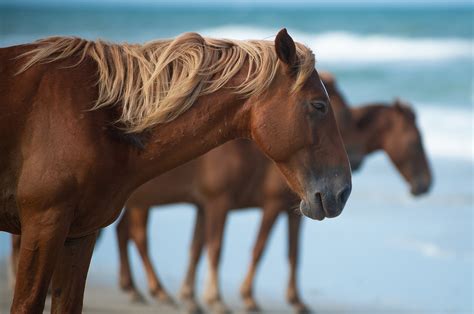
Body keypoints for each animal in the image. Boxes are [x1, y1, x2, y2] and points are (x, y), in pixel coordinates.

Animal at [113, 90, 432, 312]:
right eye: (415, 142)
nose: (427, 184)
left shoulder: (291, 211)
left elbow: (291, 253)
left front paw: (296, 300)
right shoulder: (248, 204)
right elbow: (249, 248)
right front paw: (238, 298)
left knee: (125, 234)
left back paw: (136, 288)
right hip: (140, 204)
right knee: (138, 237)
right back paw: (154, 290)